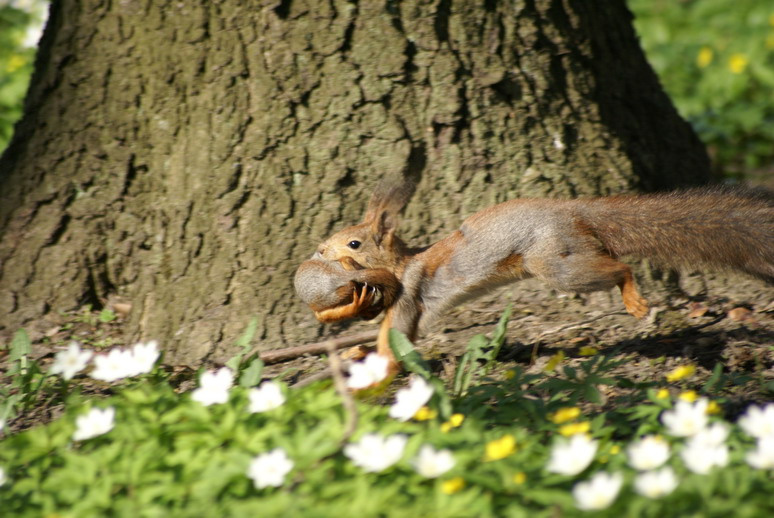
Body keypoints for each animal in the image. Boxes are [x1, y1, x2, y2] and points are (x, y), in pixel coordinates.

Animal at [297, 183, 774, 373]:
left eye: (354, 243)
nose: (318, 250)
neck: (399, 264)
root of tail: (574, 211)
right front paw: (355, 350)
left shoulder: (409, 295)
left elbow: (394, 344)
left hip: (555, 264)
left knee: (621, 268)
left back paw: (635, 301)